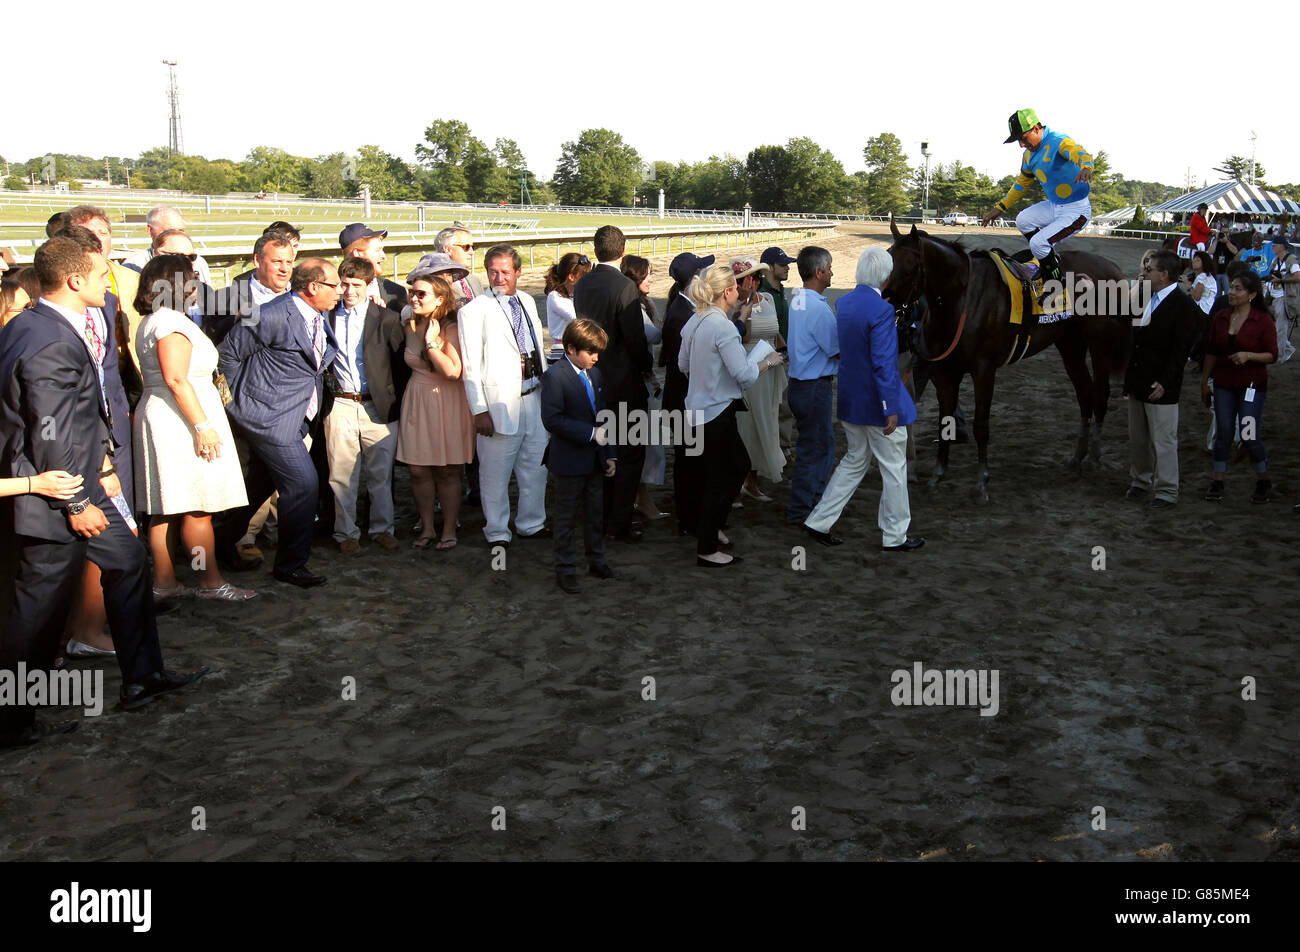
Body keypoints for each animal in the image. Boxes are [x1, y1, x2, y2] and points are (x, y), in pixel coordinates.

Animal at [878, 219, 1133, 502]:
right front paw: (938, 475)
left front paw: (982, 483)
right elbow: (945, 422)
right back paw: (1077, 457)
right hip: (1070, 345)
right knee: (1085, 396)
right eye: (885, 258)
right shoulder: (943, 370)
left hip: (1100, 346)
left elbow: (981, 425)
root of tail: (1113, 268)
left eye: (908, 268)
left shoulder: (984, 369)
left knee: (1100, 395)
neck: (961, 297)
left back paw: (1095, 457)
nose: (883, 302)